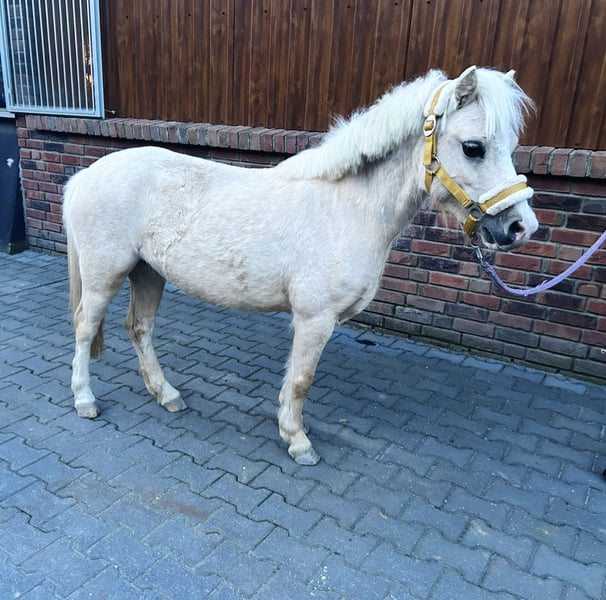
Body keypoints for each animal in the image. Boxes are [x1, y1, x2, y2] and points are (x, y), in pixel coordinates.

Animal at [63, 66, 538, 465]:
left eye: (512, 148)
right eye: (473, 148)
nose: (520, 226)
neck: (347, 207)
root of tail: (83, 178)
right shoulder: (315, 318)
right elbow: (301, 380)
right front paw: (297, 441)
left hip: (148, 273)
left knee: (139, 329)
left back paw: (167, 394)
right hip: (105, 275)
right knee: (85, 327)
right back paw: (85, 400)